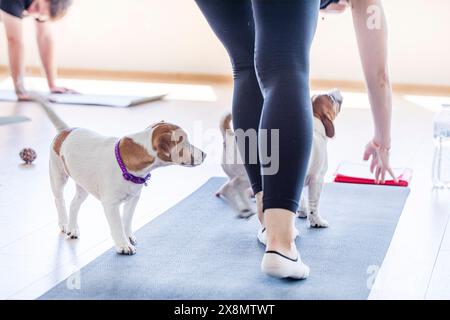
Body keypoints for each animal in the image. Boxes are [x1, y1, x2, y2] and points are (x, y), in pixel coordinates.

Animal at [32, 95, 207, 255]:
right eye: (185, 143)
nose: (204, 154)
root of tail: (66, 131)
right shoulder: (111, 204)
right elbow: (116, 225)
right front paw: (123, 245)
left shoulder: (133, 199)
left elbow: (126, 220)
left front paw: (128, 236)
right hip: (58, 177)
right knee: (59, 200)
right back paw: (63, 223)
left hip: (84, 186)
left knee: (74, 204)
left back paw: (73, 228)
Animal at [217, 89, 342, 226]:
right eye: (330, 98)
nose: (337, 90)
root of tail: (229, 136)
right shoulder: (317, 179)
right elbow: (314, 204)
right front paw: (316, 221)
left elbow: (301, 198)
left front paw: (302, 211)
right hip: (249, 176)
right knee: (235, 185)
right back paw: (246, 207)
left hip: (233, 175)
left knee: (226, 189)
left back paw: (243, 210)